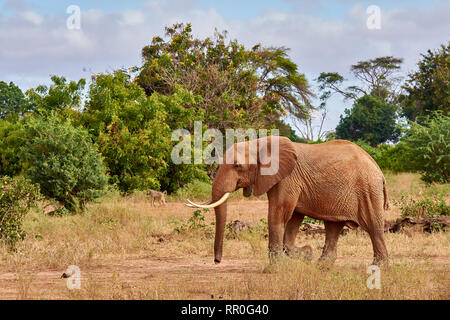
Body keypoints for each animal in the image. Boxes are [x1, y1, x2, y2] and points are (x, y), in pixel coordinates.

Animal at [185, 137, 388, 264]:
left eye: (237, 166)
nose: (217, 261)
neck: (260, 143)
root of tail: (378, 168)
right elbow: (294, 217)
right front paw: (305, 253)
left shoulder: (288, 179)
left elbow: (279, 213)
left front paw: (276, 267)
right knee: (333, 227)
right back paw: (321, 267)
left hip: (368, 190)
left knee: (373, 227)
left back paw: (380, 267)